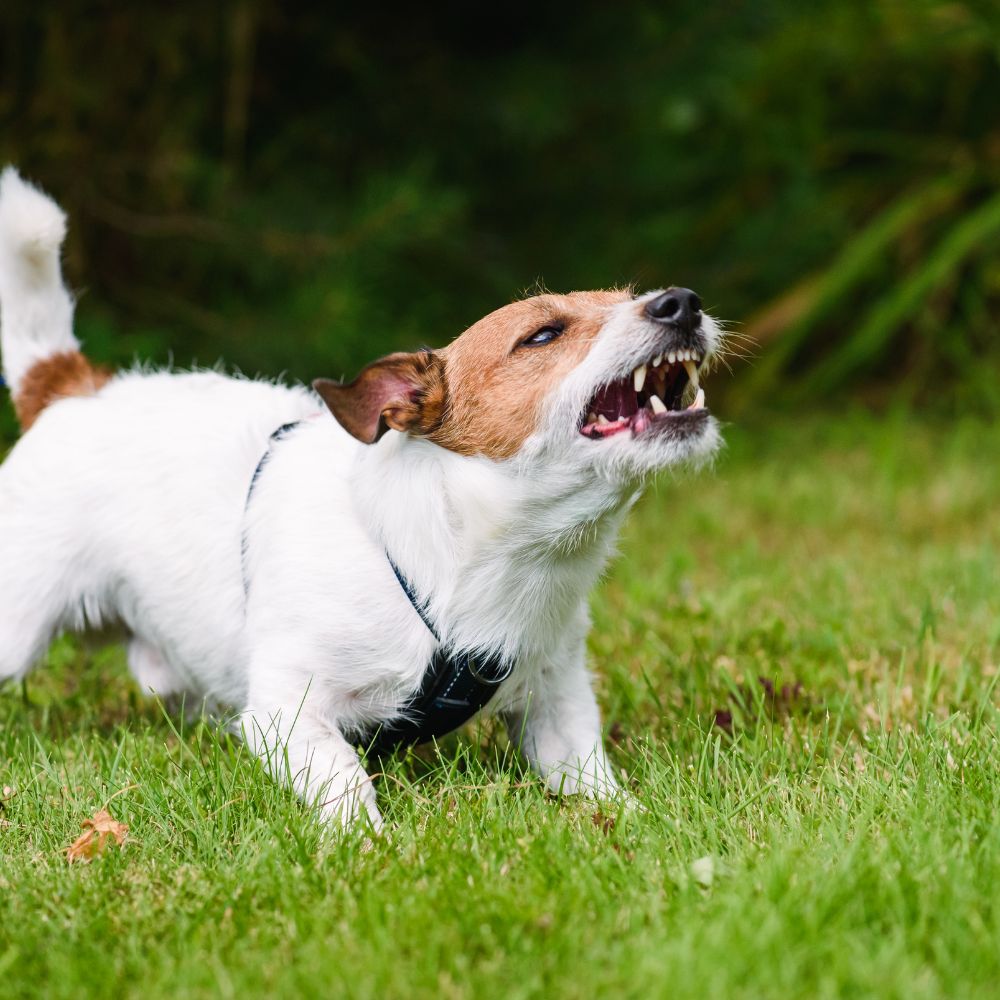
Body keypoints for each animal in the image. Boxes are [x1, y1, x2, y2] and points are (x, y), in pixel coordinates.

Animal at [0, 170, 724, 828]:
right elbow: (344, 777)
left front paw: (632, 820)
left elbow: (587, 772)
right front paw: (368, 847)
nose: (682, 302)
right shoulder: (286, 710)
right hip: (16, 626)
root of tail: (71, 388)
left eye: (630, 297)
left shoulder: (557, 697)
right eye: (542, 335)